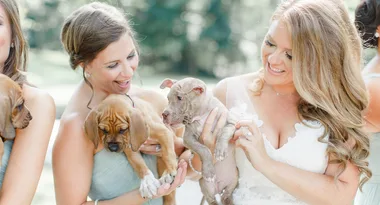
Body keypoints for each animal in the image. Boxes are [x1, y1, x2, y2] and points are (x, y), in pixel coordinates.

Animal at [160, 77, 238, 205]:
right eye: (167, 98)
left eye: (180, 98)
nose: (164, 114)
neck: (201, 115)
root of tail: (219, 188)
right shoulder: (188, 139)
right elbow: (203, 149)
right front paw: (209, 171)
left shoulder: (231, 124)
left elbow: (224, 133)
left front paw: (220, 151)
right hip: (205, 185)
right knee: (212, 200)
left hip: (234, 179)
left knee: (226, 195)